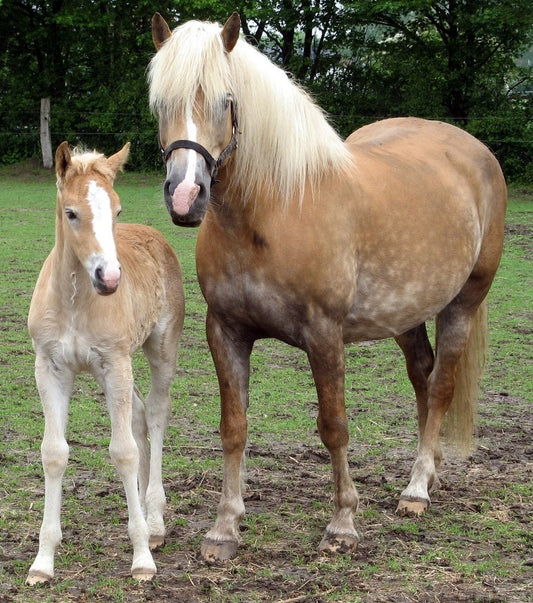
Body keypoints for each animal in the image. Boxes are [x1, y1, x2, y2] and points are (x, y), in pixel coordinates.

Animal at [27, 143, 185, 584]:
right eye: (71, 212)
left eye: (116, 210)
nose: (110, 278)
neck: (75, 301)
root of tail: (155, 235)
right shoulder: (50, 368)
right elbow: (54, 453)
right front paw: (43, 562)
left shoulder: (114, 362)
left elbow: (123, 452)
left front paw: (141, 558)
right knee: (140, 416)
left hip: (158, 349)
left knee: (158, 414)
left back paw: (155, 523)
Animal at [148, 11, 504, 564]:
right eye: (161, 102)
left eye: (226, 100)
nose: (186, 195)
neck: (272, 211)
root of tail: (474, 151)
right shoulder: (225, 331)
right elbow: (233, 427)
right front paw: (224, 529)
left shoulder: (323, 333)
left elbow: (334, 426)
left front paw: (343, 524)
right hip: (404, 314)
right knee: (423, 377)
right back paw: (430, 473)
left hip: (464, 302)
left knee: (443, 384)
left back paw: (417, 489)